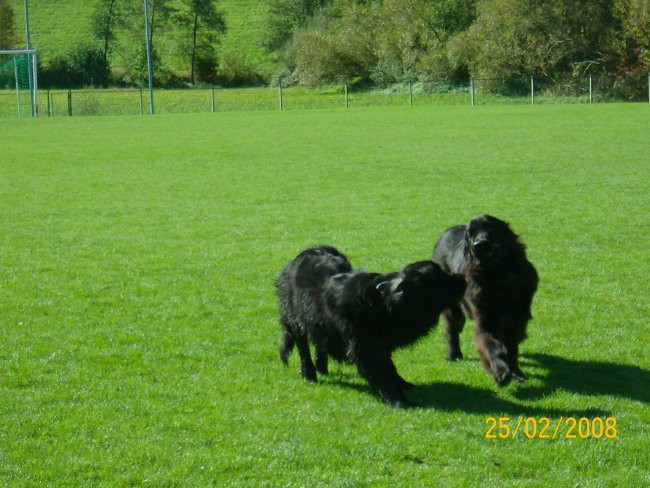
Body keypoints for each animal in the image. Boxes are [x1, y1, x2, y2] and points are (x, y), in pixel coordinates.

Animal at [276, 244, 464, 408]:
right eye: (440, 278)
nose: (461, 277)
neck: (382, 304)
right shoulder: (364, 348)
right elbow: (380, 373)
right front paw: (398, 400)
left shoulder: (380, 345)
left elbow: (389, 367)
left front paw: (401, 383)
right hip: (295, 321)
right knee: (303, 348)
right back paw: (309, 373)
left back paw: (322, 367)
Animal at [430, 215, 536, 386]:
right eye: (471, 233)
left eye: (490, 228)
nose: (479, 245)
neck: (497, 278)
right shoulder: (485, 320)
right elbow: (491, 345)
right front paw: (501, 372)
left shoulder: (516, 320)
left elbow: (511, 348)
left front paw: (516, 373)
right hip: (452, 306)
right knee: (452, 329)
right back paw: (454, 354)